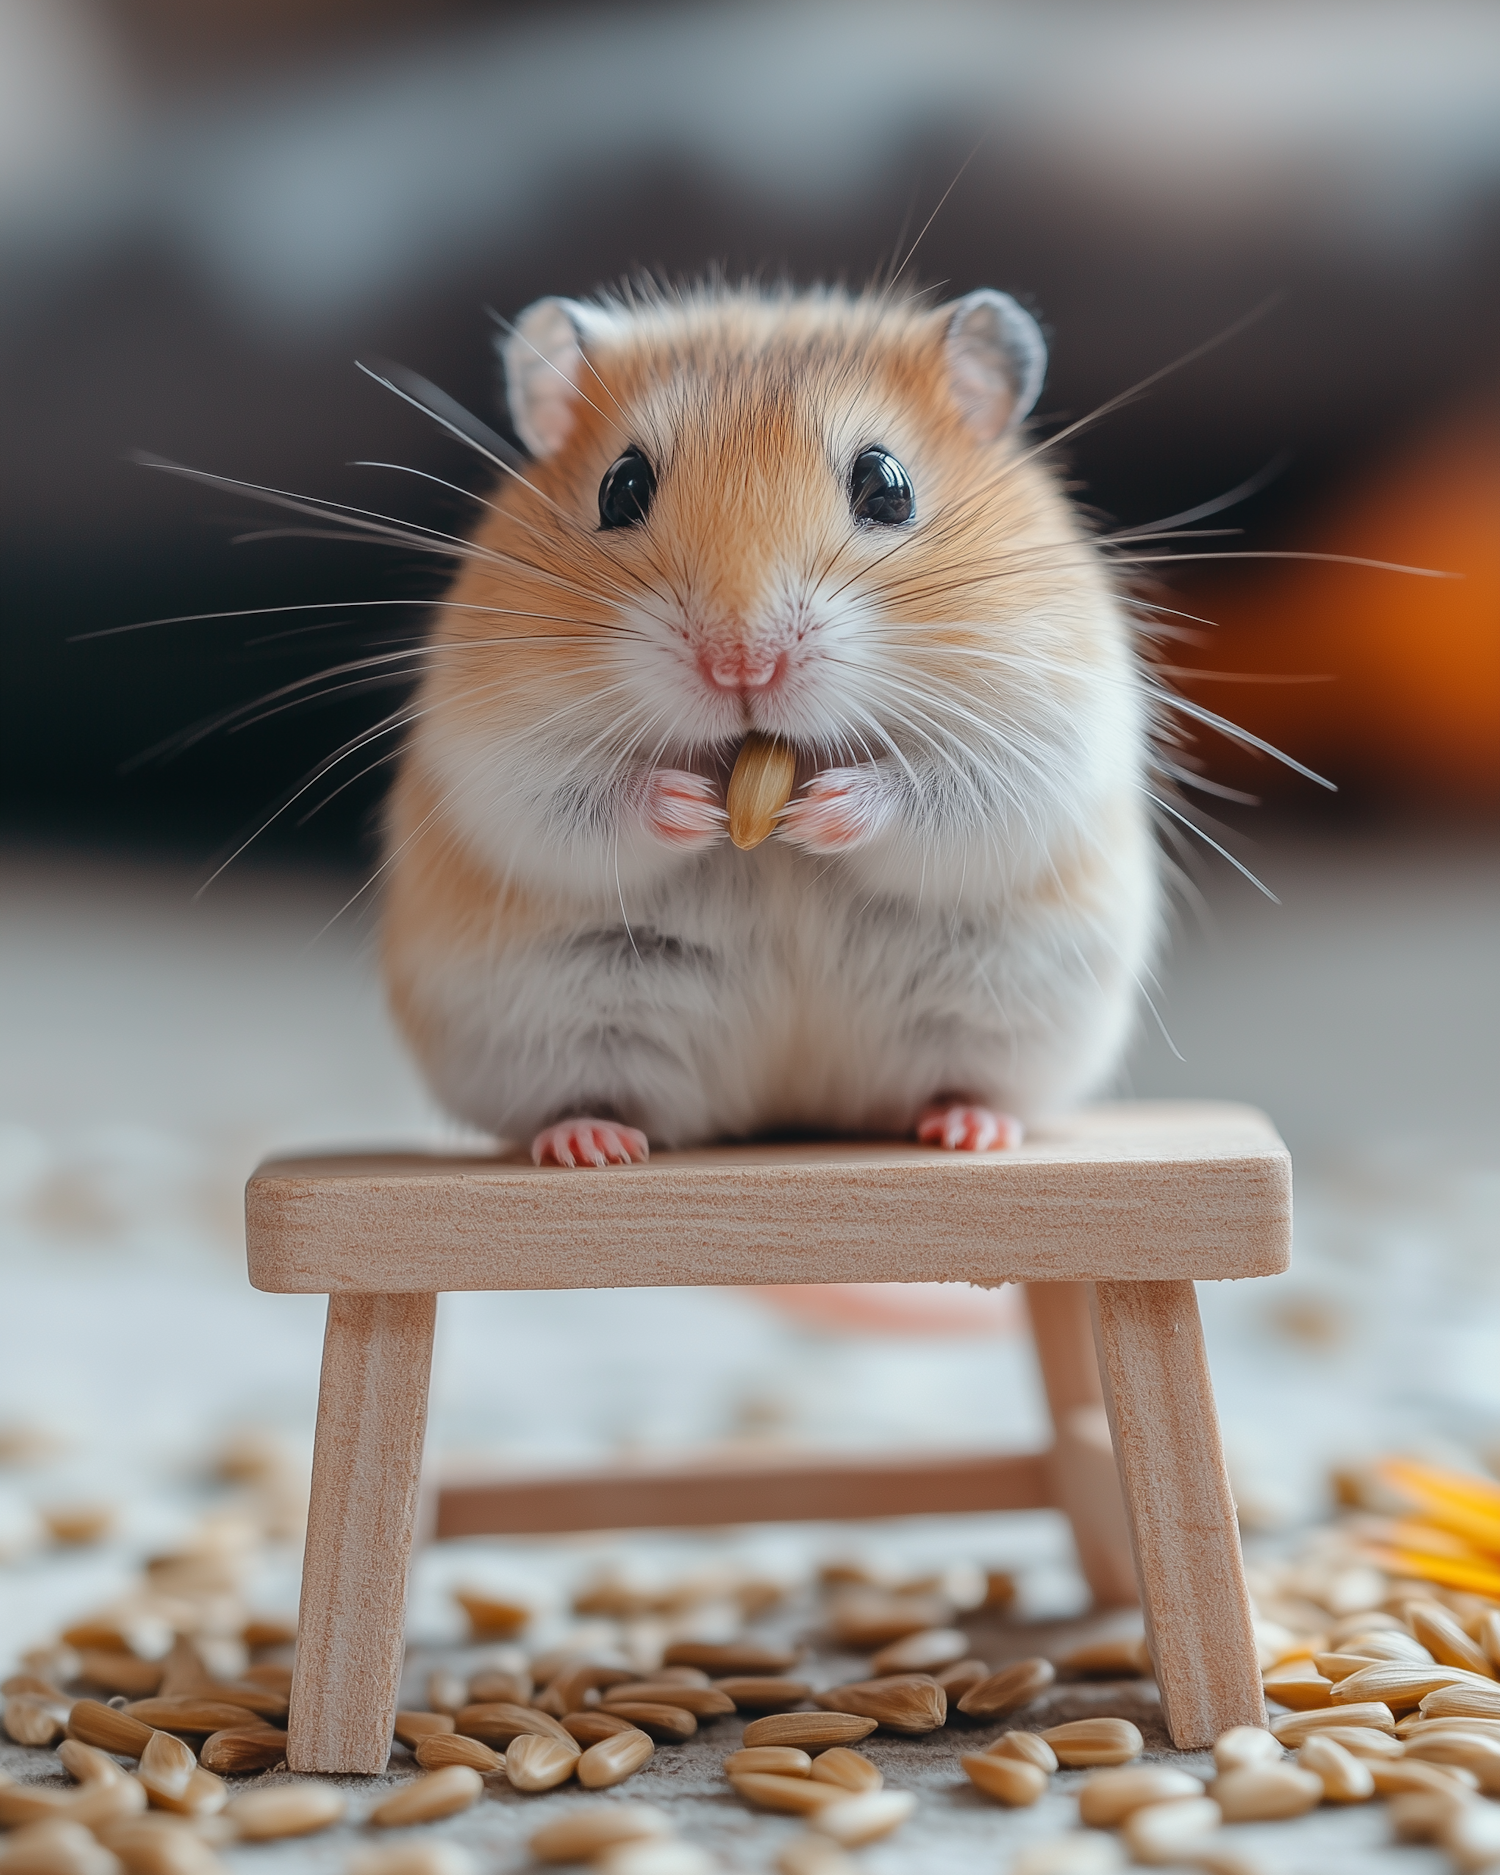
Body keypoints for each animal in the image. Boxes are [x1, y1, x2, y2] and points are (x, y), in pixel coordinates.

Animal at [380, 285, 1155, 1162]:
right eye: (620, 486)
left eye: (888, 486)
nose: (741, 665)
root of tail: (787, 1104)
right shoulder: (497, 755)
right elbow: (575, 798)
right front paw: (697, 808)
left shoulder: (1043, 739)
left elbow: (946, 793)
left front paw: (814, 811)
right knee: (583, 1096)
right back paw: (590, 1141)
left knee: (969, 1082)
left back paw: (970, 1128)